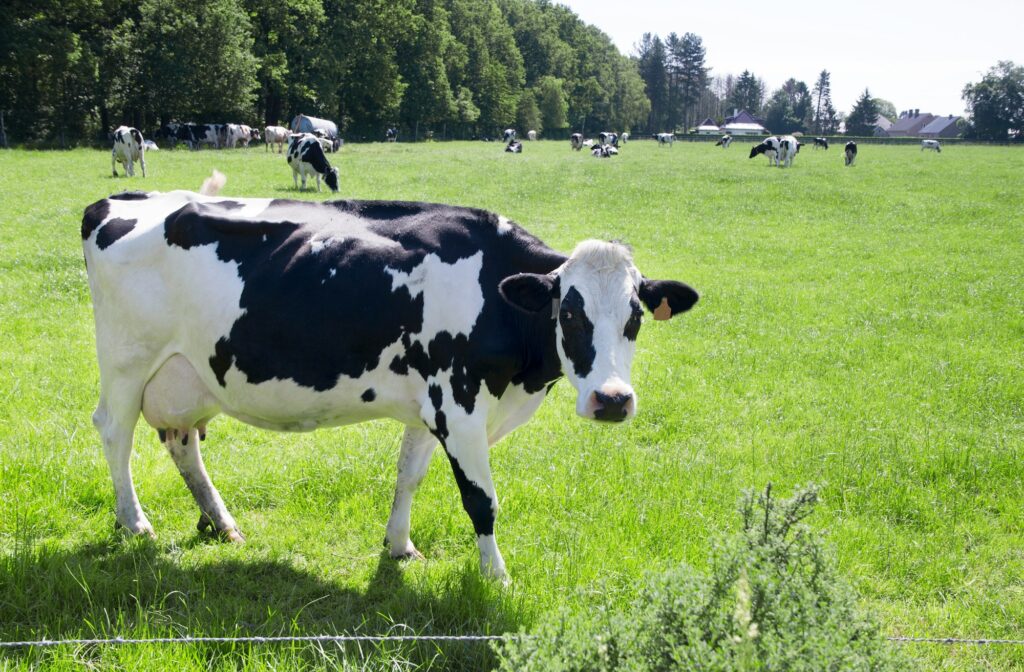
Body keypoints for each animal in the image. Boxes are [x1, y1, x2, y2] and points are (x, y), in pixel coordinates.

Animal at [83, 176, 700, 581]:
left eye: (635, 317)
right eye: (569, 314)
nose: (612, 400)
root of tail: (121, 200)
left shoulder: (430, 405)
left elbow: (409, 475)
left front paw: (400, 546)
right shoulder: (459, 404)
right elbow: (482, 499)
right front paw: (497, 577)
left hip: (186, 376)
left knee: (182, 441)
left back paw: (221, 522)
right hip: (126, 361)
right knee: (115, 432)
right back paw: (134, 522)